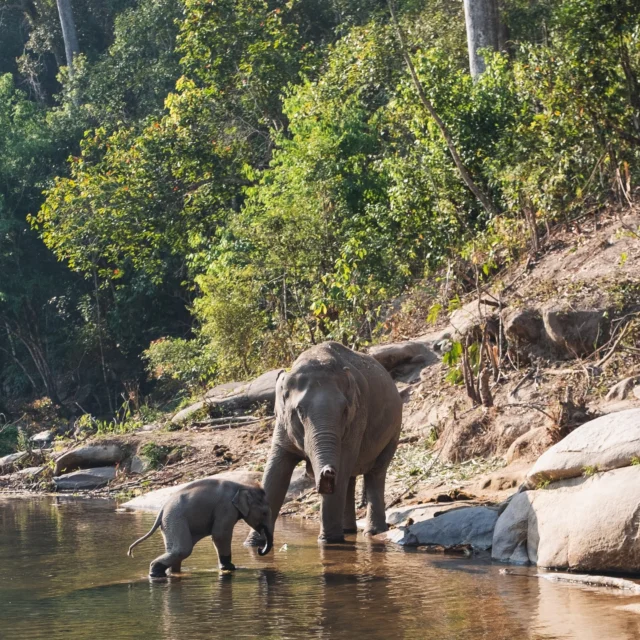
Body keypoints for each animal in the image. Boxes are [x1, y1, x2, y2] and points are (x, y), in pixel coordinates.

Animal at [127, 472, 272, 576]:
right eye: (265, 513)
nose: (259, 549)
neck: (244, 486)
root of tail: (162, 510)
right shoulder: (225, 508)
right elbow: (220, 535)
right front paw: (231, 568)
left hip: (169, 523)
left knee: (175, 551)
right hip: (175, 519)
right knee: (183, 550)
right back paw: (155, 573)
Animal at [248, 342, 402, 544]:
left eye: (344, 410)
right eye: (299, 410)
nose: (327, 471)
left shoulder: (357, 420)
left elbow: (343, 465)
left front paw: (329, 542)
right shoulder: (282, 424)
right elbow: (276, 472)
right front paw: (253, 543)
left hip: (394, 430)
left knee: (375, 473)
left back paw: (372, 533)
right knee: (349, 478)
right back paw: (348, 530)